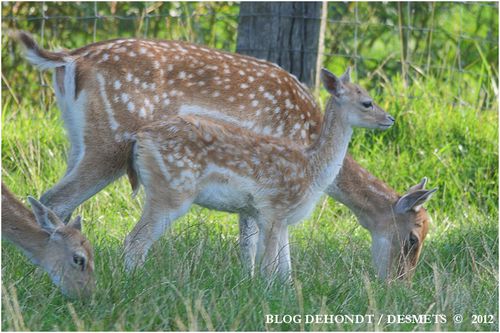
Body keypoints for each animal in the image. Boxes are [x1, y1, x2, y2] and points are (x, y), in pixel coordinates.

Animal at [125, 68, 394, 274]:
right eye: (367, 102)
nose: (390, 119)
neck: (312, 170)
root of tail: (140, 137)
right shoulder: (273, 209)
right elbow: (269, 268)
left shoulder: (282, 219)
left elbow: (286, 270)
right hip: (171, 189)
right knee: (135, 240)